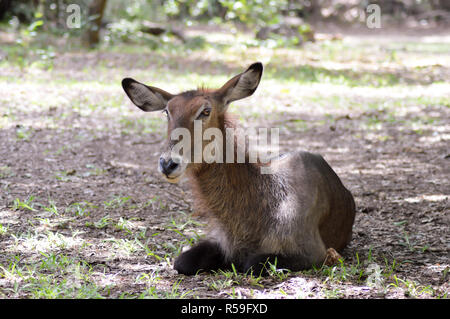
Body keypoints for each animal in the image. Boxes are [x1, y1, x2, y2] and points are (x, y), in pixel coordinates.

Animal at [122, 62, 356, 276]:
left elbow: (251, 263)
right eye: (167, 112)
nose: (168, 163)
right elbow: (182, 261)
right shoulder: (220, 241)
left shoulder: (313, 252)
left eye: (205, 111)